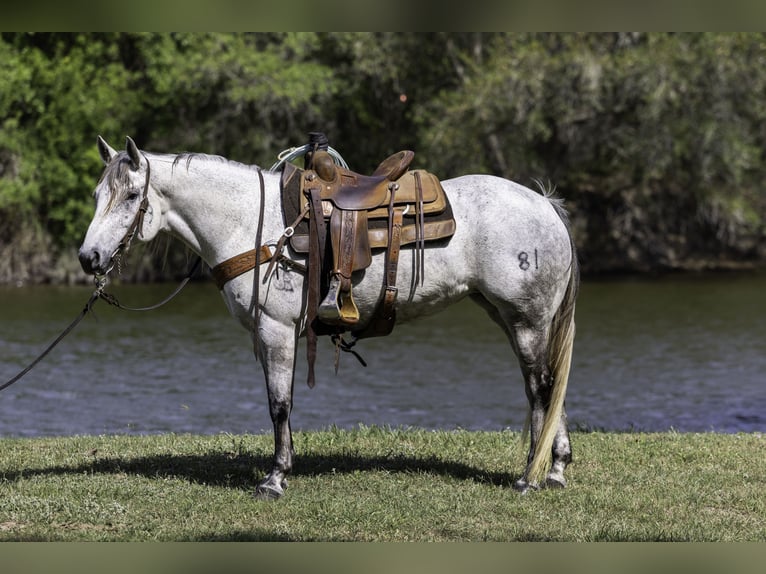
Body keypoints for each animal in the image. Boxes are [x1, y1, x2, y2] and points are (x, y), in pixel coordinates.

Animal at [78, 136, 579, 499]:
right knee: (548, 385)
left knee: (540, 388)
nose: (89, 257)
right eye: (99, 193)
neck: (251, 224)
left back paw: (530, 477)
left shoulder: (276, 331)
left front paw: (275, 478)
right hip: (512, 318)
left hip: (526, 320)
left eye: (132, 195)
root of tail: (545, 205)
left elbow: (279, 404)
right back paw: (554, 469)